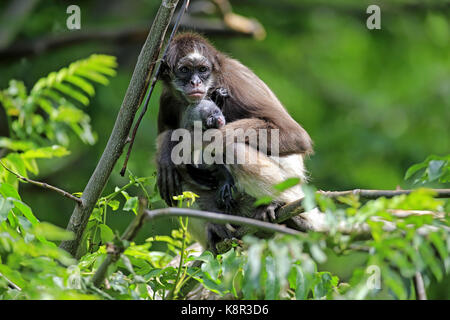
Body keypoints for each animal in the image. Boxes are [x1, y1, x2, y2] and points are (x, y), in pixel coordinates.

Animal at [156, 33, 312, 252]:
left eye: (202, 70)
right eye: (185, 70)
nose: (195, 82)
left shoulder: (234, 79)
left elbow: (296, 136)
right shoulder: (167, 98)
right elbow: (164, 134)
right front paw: (166, 154)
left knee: (234, 148)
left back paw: (280, 208)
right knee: (173, 180)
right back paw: (216, 229)